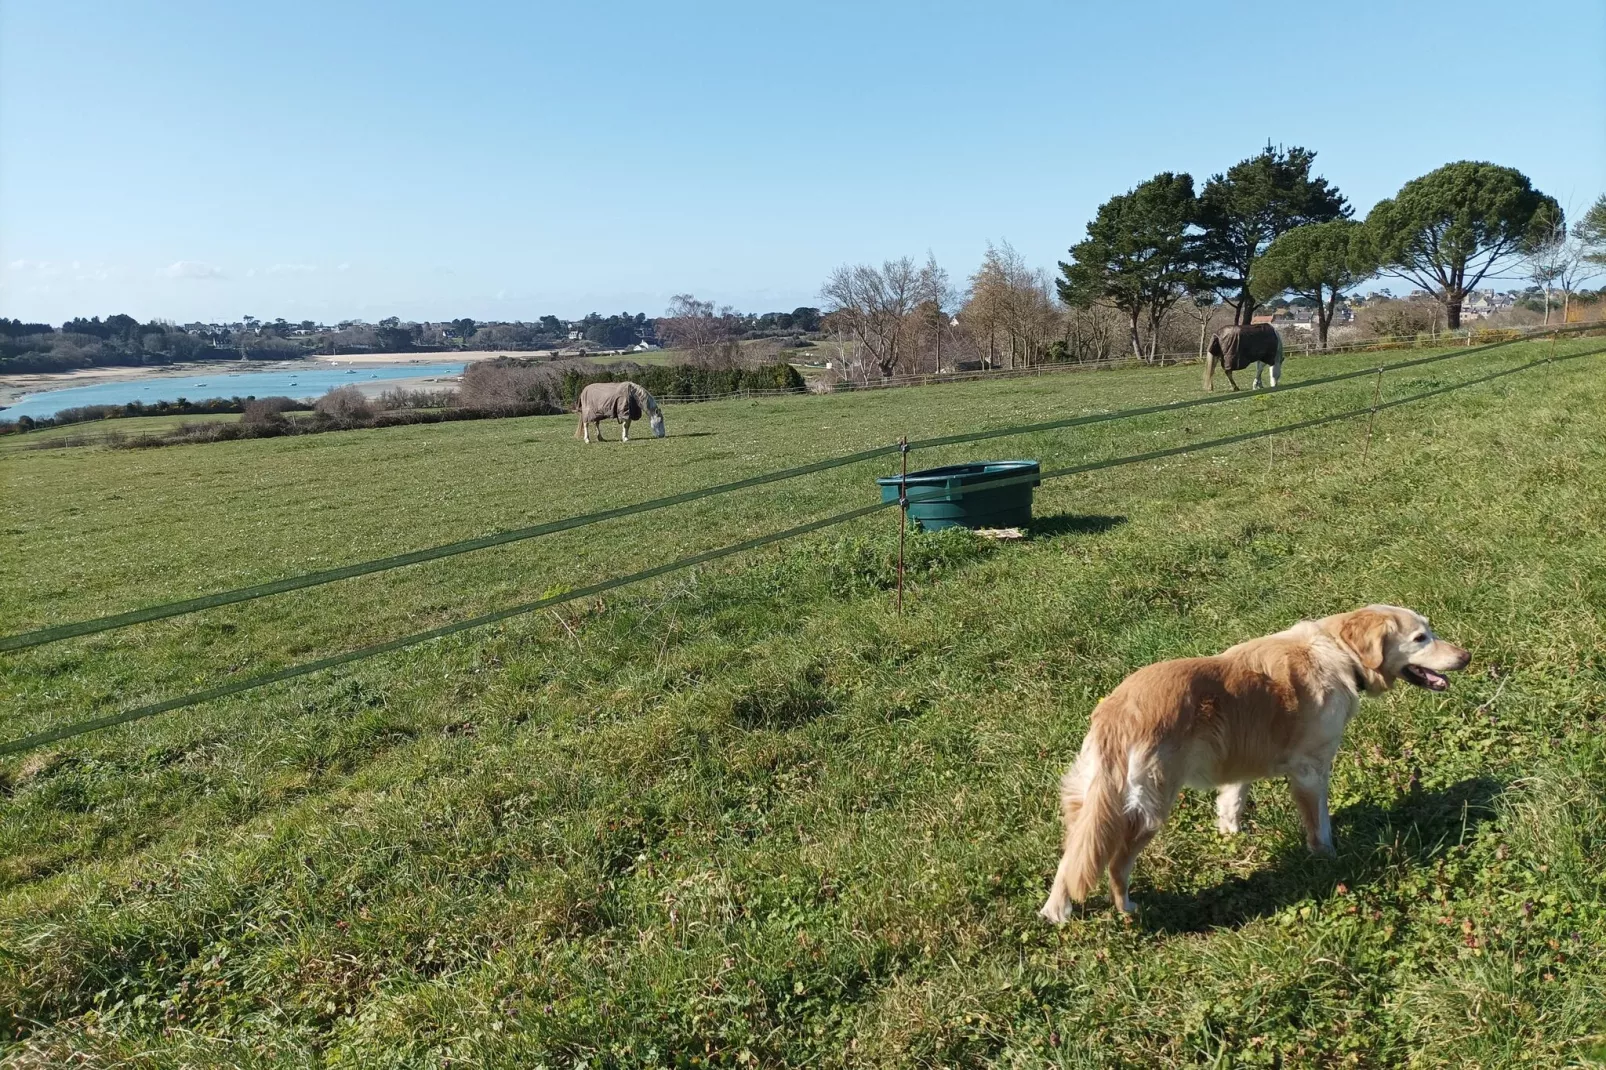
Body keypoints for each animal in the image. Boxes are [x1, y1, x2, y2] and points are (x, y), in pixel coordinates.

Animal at [1040, 600, 1471, 918]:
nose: (1466, 656)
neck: (1339, 652)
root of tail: (1117, 712)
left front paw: (1232, 834)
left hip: (1092, 804)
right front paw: (1329, 858)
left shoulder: (1239, 761)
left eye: (1429, 631)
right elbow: (1321, 825)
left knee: (1071, 861)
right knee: (1115, 864)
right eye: (1420, 637)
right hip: (1150, 807)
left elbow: (1232, 802)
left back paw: (1056, 913)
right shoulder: (1311, 769)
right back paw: (1127, 908)